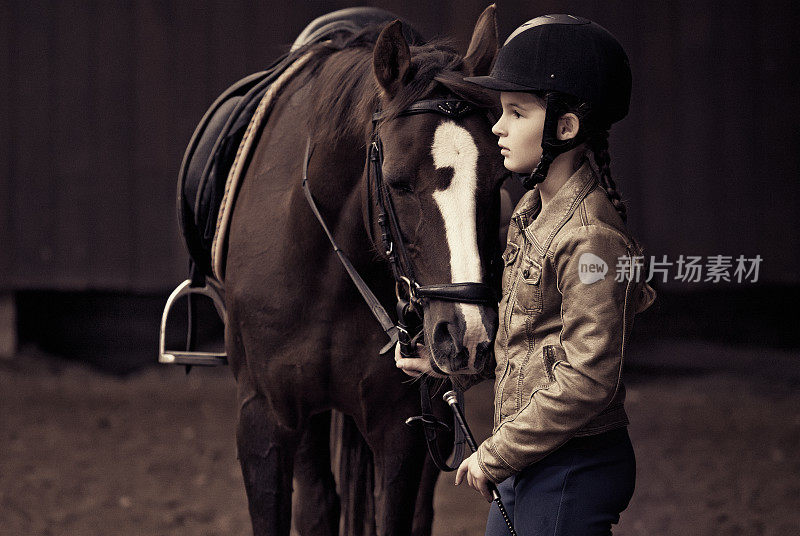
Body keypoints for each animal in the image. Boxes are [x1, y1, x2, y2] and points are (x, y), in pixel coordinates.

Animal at [223, 6, 500, 532]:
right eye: (398, 182)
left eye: (499, 180)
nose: (467, 337)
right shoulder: (261, 417)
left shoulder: (402, 429)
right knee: (317, 502)